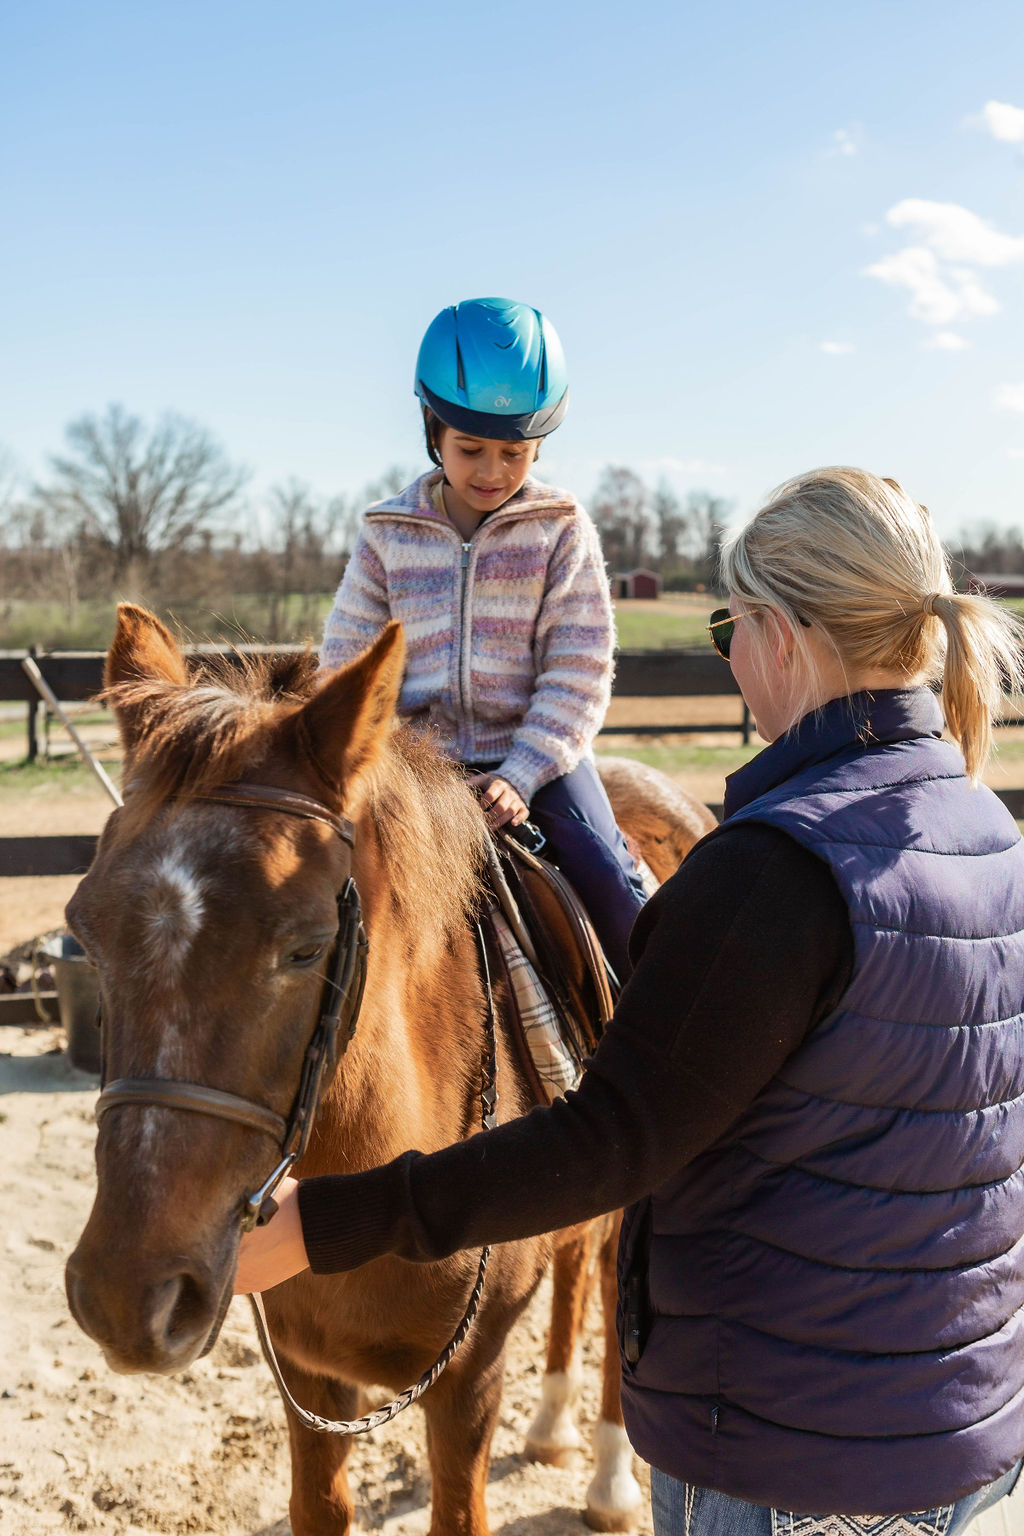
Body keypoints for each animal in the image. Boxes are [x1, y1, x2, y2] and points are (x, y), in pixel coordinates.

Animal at [65, 604, 716, 1536]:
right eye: (85, 932)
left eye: (305, 947)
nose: (127, 1297)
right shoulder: (305, 1381)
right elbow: (320, 1504)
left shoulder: (468, 1382)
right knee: (576, 1262)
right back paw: (554, 1427)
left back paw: (608, 1477)